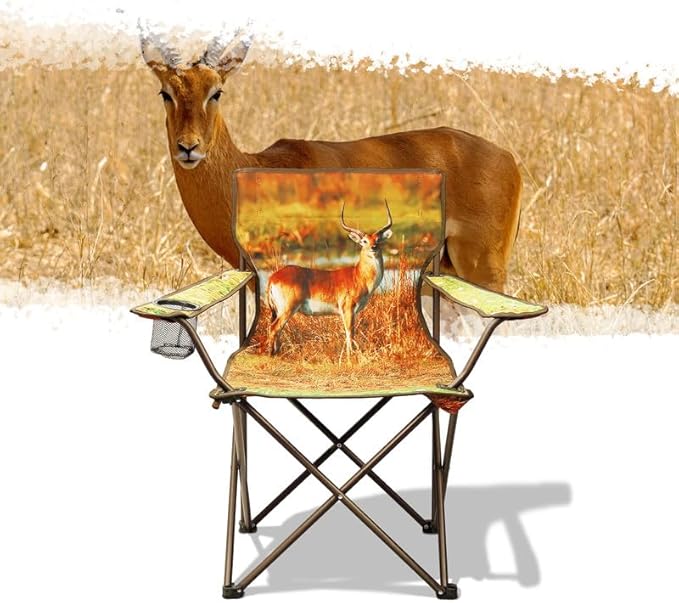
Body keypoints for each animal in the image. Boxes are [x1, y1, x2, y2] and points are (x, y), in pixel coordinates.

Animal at [266, 201, 393, 360]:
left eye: (378, 240)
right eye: (364, 241)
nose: (373, 247)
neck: (358, 276)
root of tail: (273, 277)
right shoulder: (347, 309)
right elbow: (350, 332)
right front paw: (350, 357)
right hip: (287, 308)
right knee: (274, 328)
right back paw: (271, 355)